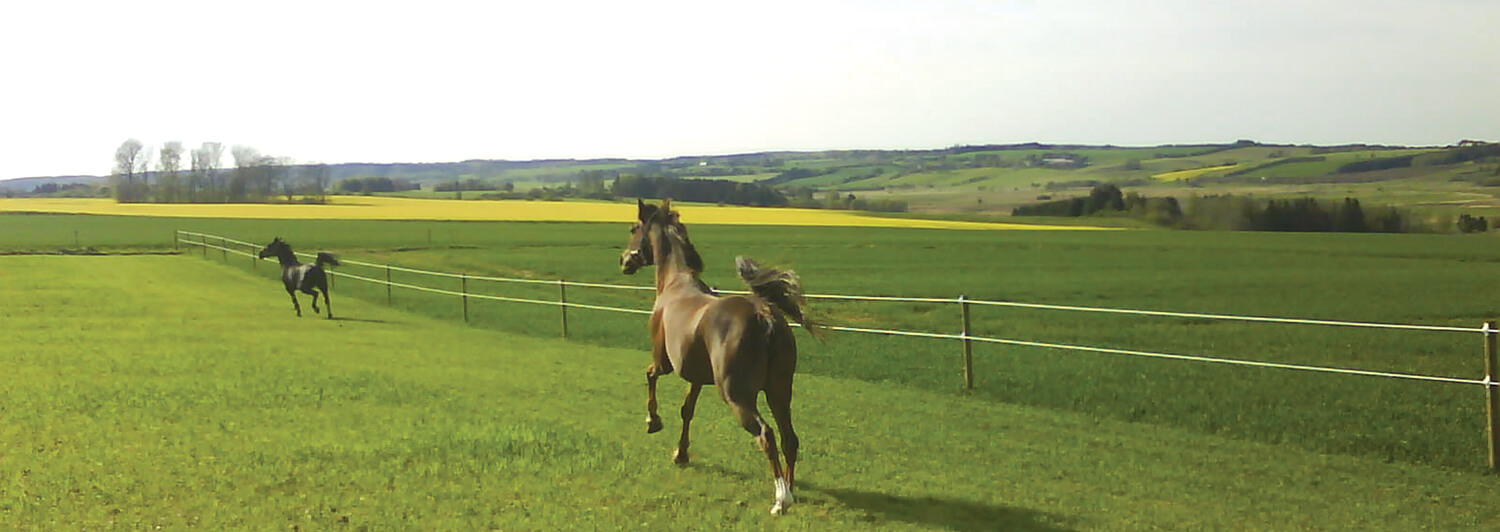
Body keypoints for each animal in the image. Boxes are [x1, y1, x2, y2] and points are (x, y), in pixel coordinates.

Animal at [621, 197, 822, 515]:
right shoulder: (695, 377)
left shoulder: (664, 363)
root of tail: (763, 315)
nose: (624, 261)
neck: (675, 285)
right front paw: (680, 453)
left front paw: (653, 422)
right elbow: (687, 411)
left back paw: (781, 499)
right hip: (779, 393)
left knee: (766, 435)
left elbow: (649, 374)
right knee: (790, 438)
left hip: (737, 396)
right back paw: (791, 491)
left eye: (633, 228)